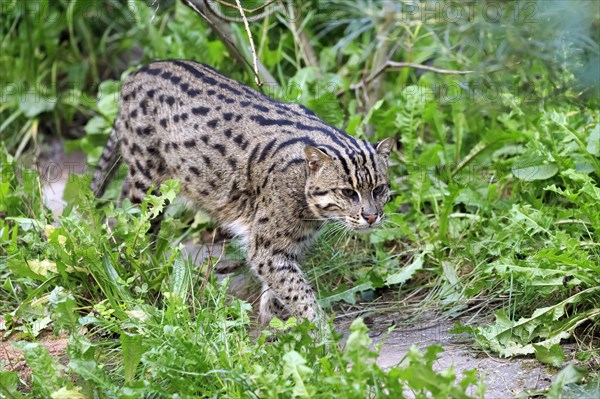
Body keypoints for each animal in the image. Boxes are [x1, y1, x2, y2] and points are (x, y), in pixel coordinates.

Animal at [91, 61, 394, 324]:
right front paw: (321, 336)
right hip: (148, 183)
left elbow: (280, 288)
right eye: (348, 192)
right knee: (138, 225)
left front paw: (276, 322)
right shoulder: (266, 247)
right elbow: (298, 292)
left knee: (123, 203)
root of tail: (138, 72)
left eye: (379, 189)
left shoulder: (287, 246)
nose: (371, 217)